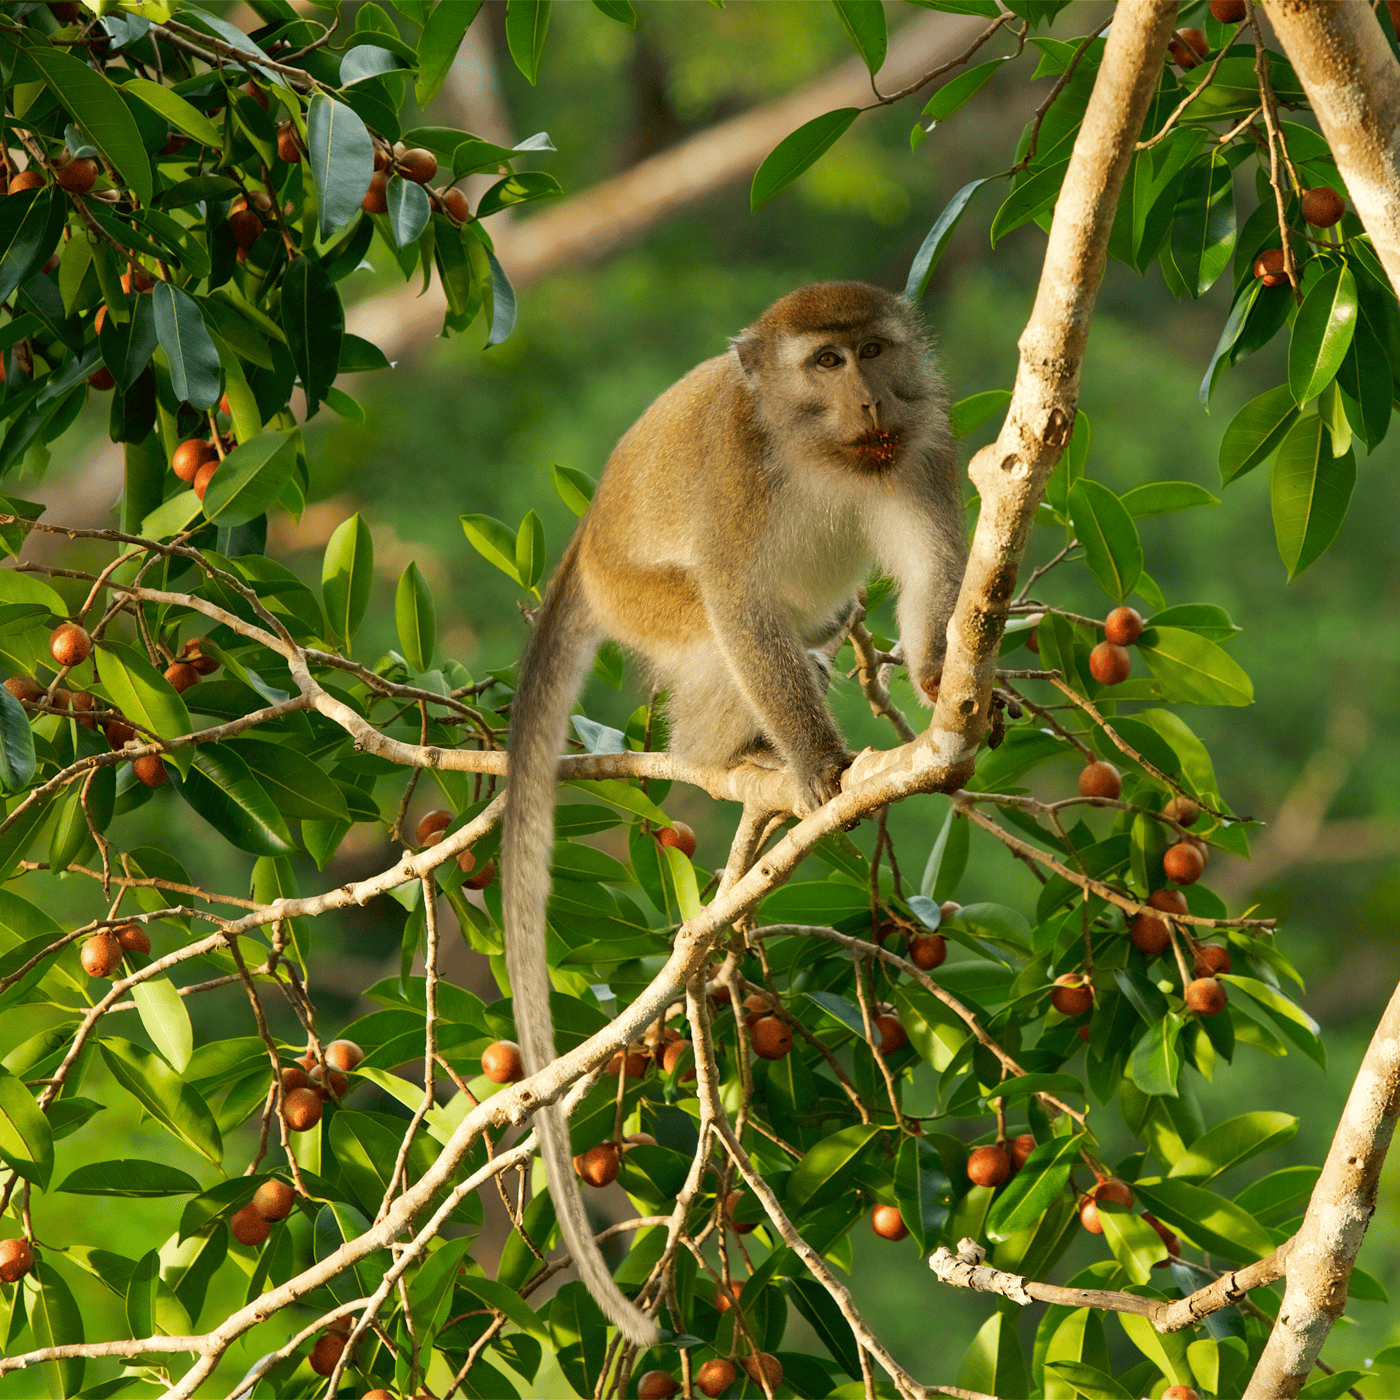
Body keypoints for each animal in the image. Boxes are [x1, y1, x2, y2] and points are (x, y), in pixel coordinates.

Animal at [500, 281, 967, 1346]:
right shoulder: (735, 474)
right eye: (826, 363)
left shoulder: (920, 444)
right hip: (637, 593)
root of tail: (585, 542)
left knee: (808, 617)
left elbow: (930, 564)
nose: (870, 398)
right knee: (724, 623)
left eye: (874, 350)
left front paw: (939, 677)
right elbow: (739, 603)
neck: (816, 448)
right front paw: (822, 766)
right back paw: (734, 755)